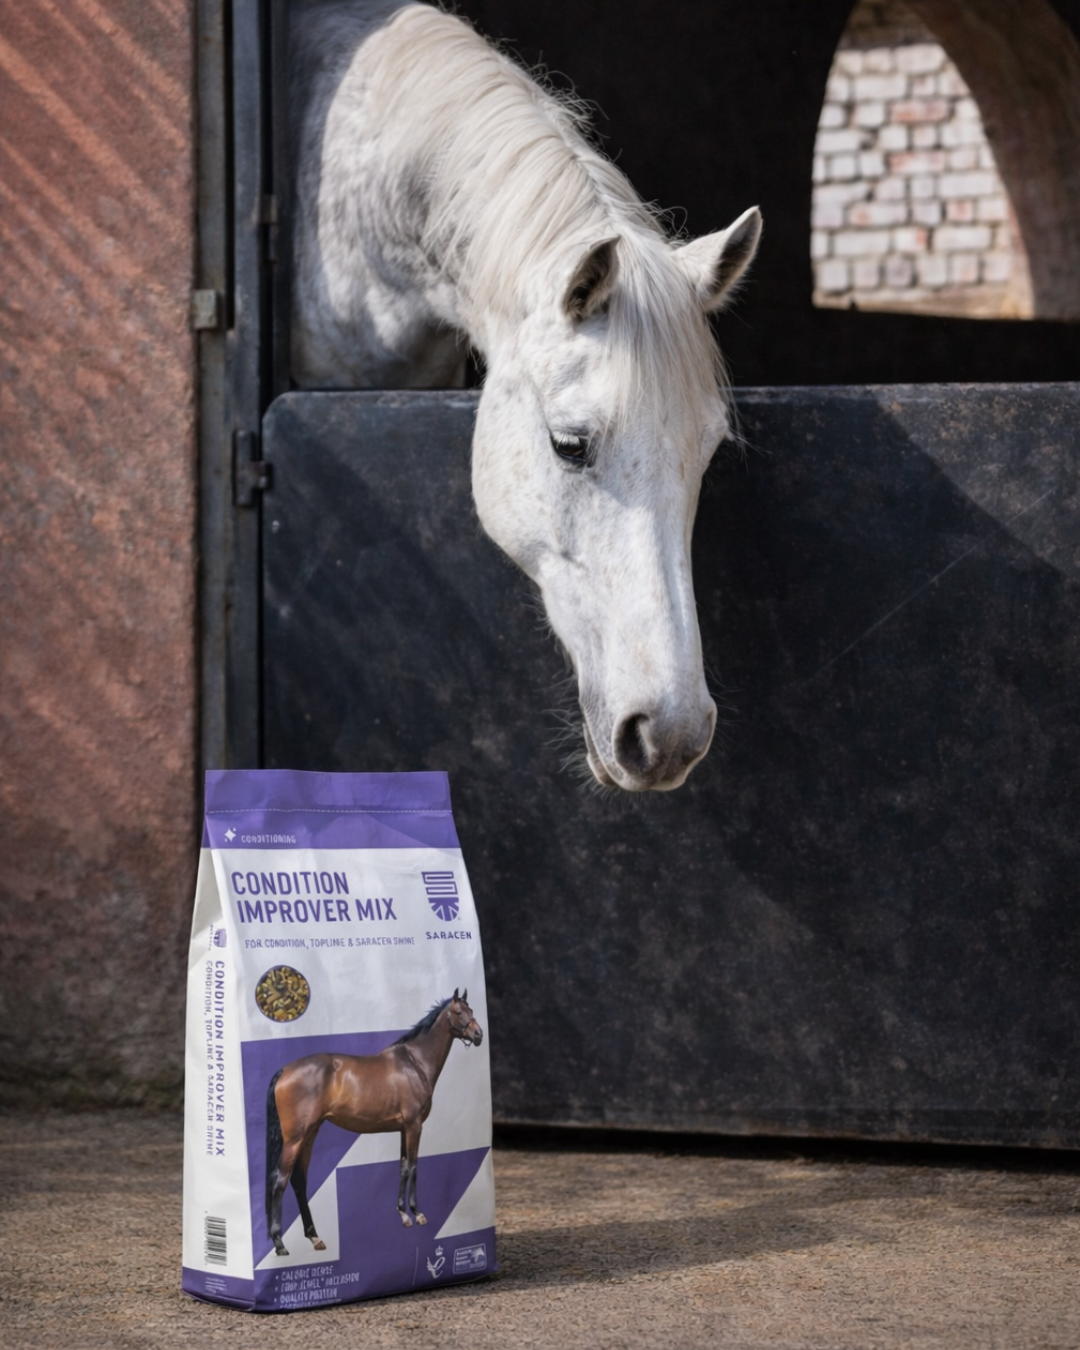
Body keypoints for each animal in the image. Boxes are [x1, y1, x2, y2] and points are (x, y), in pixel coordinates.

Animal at [265, 990, 483, 1255]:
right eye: (458, 1012)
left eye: (471, 1010)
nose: (478, 1035)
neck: (415, 1063)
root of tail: (284, 1070)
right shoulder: (414, 1126)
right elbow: (413, 1167)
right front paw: (417, 1214)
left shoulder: (404, 1129)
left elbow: (402, 1167)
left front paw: (403, 1214)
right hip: (294, 1140)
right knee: (279, 1181)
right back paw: (280, 1244)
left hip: (310, 1135)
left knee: (298, 1181)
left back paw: (314, 1237)